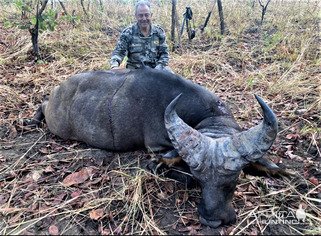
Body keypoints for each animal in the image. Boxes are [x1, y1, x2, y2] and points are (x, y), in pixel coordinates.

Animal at [27, 66, 278, 227]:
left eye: (234, 180)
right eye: (199, 180)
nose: (213, 220)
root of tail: (58, 90)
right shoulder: (156, 147)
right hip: (56, 123)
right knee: (42, 104)